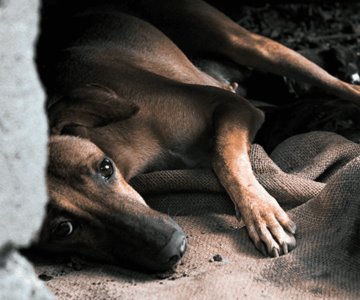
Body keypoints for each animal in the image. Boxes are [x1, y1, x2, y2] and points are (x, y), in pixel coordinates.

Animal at [35, 0, 360, 272]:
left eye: (105, 168)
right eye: (63, 229)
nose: (173, 247)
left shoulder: (234, 107)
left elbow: (224, 158)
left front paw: (262, 212)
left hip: (245, 44)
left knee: (341, 86)